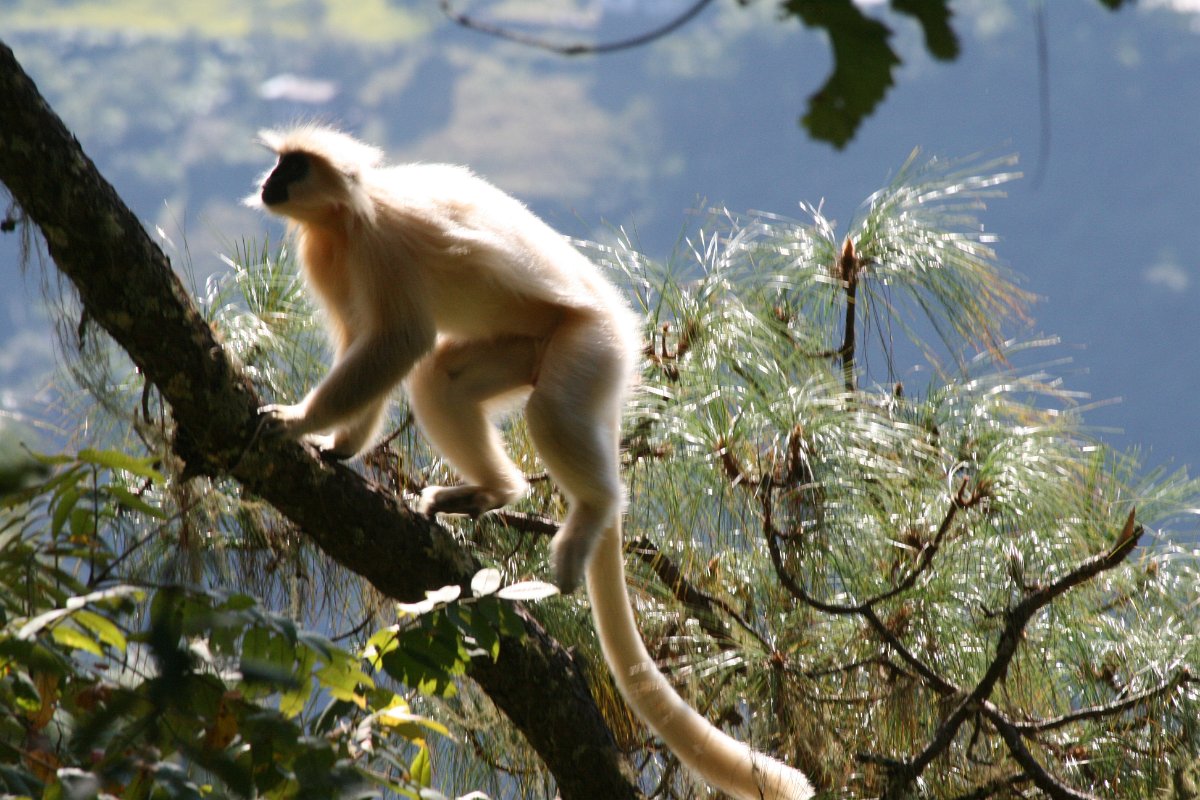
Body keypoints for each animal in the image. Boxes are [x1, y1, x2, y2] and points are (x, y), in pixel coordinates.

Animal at [253, 125, 816, 800]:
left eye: (294, 166)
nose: (269, 182)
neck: (346, 216)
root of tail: (622, 329)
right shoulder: (331, 258)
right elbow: (368, 347)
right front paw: (339, 444)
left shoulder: (379, 249)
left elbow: (397, 342)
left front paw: (297, 421)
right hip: (527, 347)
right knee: (440, 379)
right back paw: (490, 492)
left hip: (591, 345)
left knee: (540, 409)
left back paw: (591, 511)